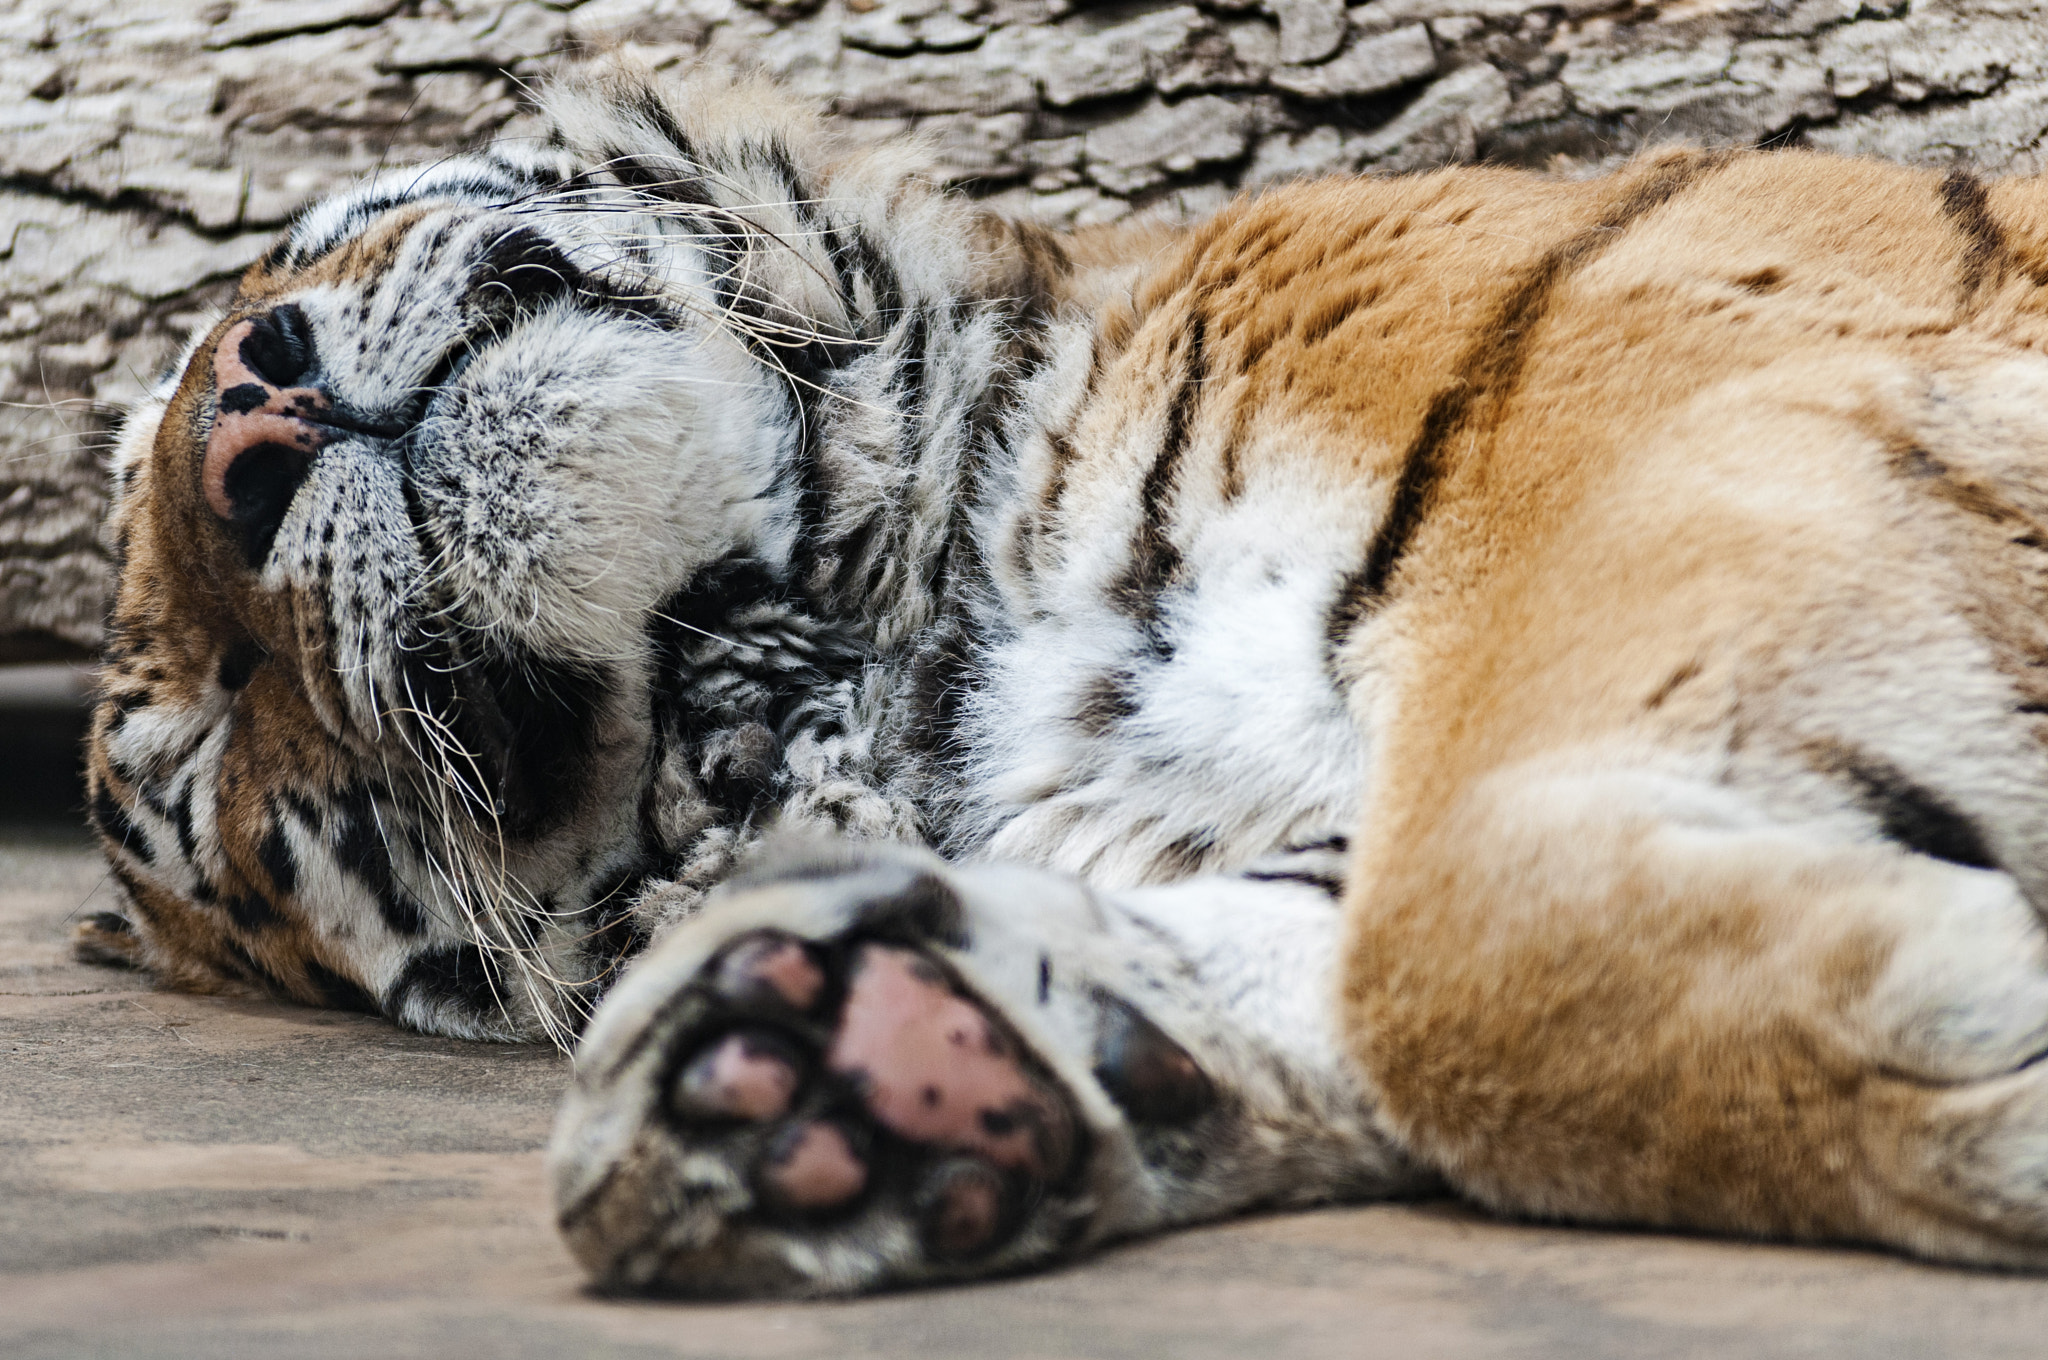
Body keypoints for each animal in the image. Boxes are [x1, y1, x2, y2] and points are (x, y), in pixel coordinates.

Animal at [75, 62, 2048, 1296]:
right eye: (217, 752)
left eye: (240, 299)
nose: (243, 420)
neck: (934, 650)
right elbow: (1383, 949)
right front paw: (859, 1063)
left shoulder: (1721, 422)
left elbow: (1451, 953)